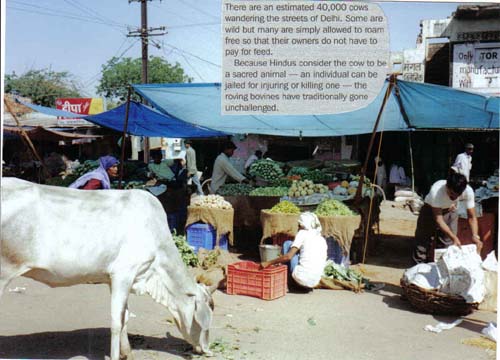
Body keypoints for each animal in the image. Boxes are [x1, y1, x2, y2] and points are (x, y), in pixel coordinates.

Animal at [0, 178, 215, 360]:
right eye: (206, 324)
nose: (206, 350)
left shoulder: (116, 279)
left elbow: (125, 316)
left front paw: (127, 353)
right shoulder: (123, 274)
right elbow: (116, 322)